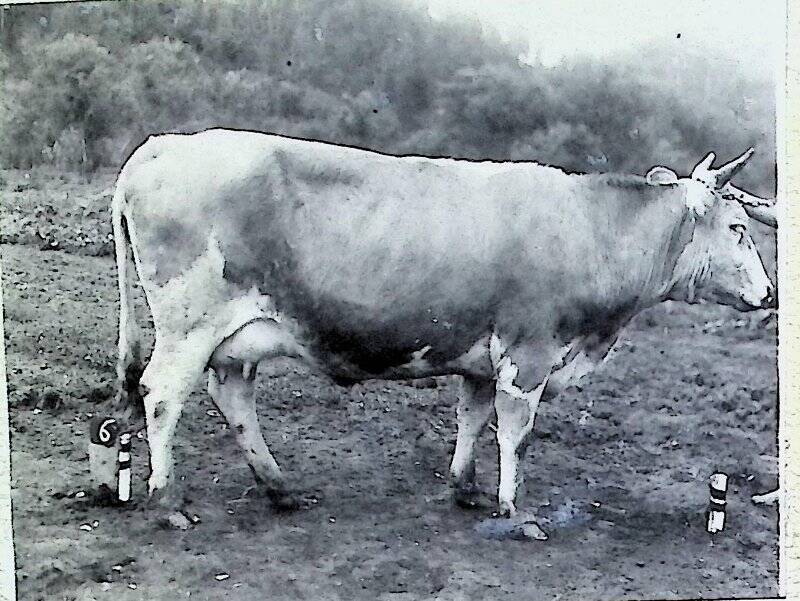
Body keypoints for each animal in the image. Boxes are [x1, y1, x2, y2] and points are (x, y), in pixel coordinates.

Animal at [112, 129, 776, 536]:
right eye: (739, 227)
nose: (770, 296)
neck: (591, 229)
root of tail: (161, 146)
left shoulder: (484, 359)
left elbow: (472, 419)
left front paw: (465, 490)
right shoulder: (528, 353)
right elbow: (515, 435)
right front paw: (516, 510)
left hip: (236, 336)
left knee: (232, 396)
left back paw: (279, 489)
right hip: (190, 323)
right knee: (162, 394)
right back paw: (168, 501)